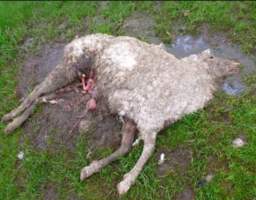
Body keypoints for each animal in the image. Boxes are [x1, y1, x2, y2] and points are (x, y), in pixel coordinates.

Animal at [1, 33, 240, 195]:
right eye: (212, 56)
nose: (237, 65)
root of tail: (78, 40)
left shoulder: (138, 117)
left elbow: (127, 147)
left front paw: (92, 169)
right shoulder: (142, 113)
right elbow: (148, 149)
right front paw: (127, 182)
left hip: (77, 85)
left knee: (42, 97)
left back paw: (16, 122)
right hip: (69, 68)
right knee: (36, 91)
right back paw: (10, 119)